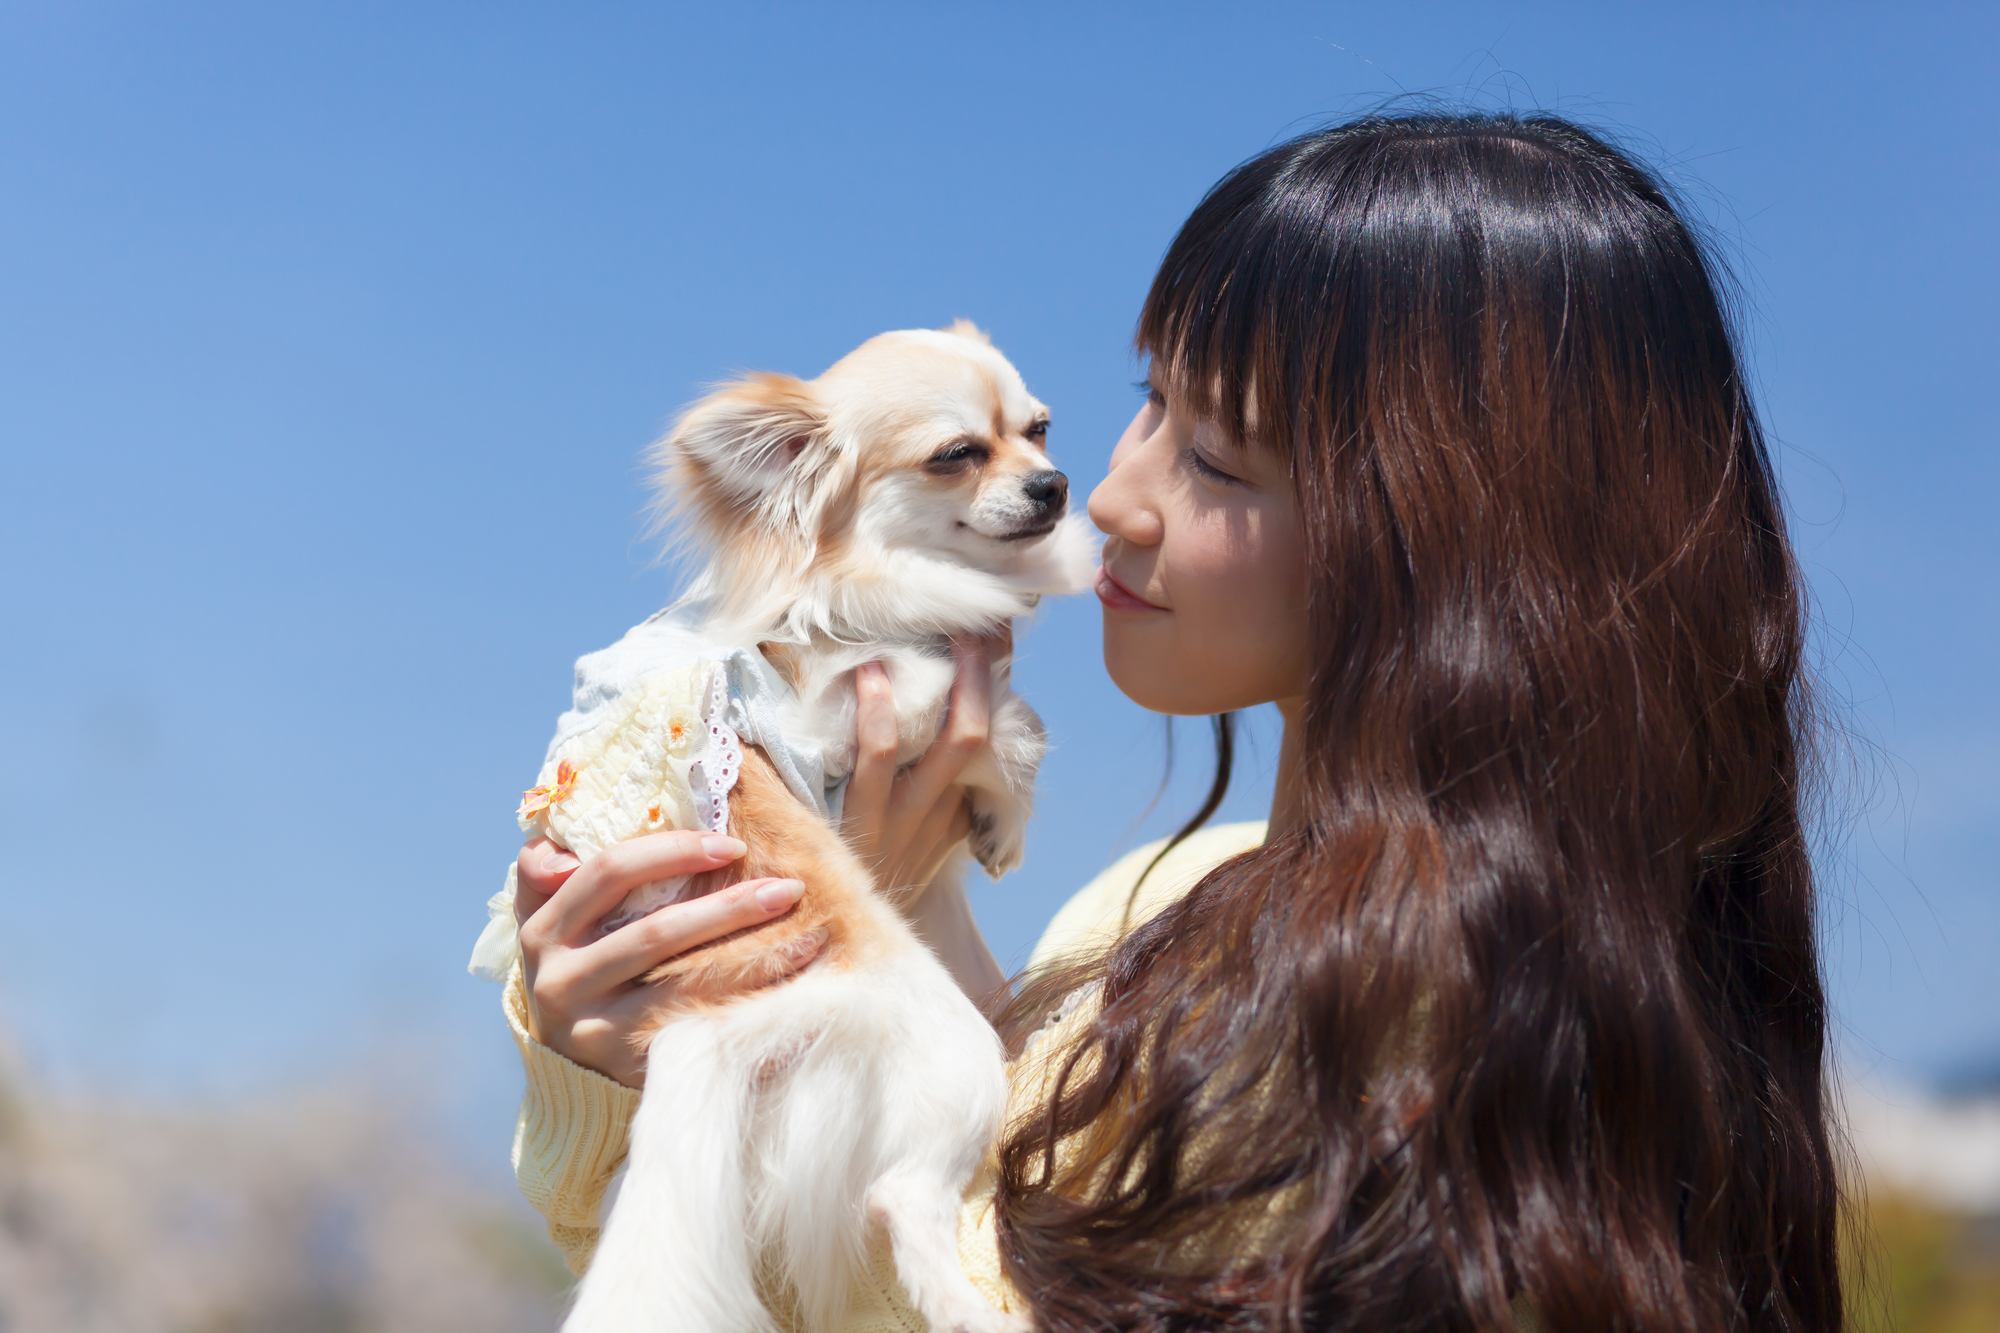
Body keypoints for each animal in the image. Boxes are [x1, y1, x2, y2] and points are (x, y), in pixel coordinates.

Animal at [536, 324, 1096, 1328]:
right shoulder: (842, 705)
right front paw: (1007, 802)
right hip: (959, 1060)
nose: (1055, 483)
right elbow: (1001, 710)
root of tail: (715, 1024)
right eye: (958, 454)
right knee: (902, 1201)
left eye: (1040, 429)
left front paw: (995, 818)